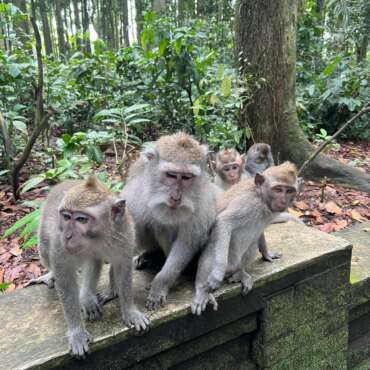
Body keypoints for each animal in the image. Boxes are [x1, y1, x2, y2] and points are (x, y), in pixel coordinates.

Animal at [28, 178, 150, 356]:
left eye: (81, 219)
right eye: (66, 217)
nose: (67, 236)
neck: (95, 238)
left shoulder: (124, 231)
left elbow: (122, 267)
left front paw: (130, 312)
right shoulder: (59, 243)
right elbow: (65, 280)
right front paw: (77, 332)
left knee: (94, 260)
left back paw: (88, 295)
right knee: (44, 247)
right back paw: (51, 275)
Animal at [192, 162, 300, 316]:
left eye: (289, 190)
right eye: (278, 189)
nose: (284, 200)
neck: (261, 198)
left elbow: (259, 232)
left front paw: (267, 253)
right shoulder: (248, 203)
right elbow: (223, 222)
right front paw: (216, 274)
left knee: (252, 244)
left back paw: (240, 273)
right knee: (214, 248)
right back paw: (202, 288)